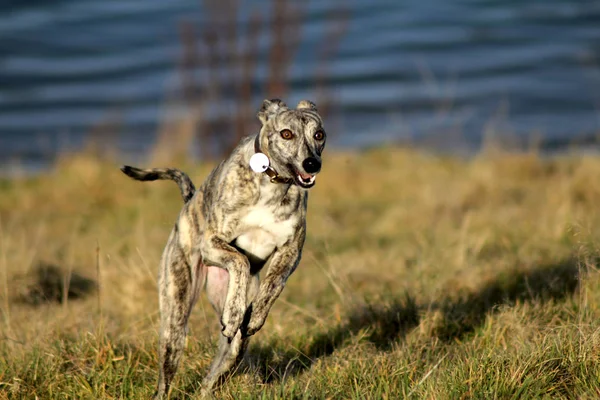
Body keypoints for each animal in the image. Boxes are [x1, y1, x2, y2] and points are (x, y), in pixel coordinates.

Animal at [121, 99, 326, 396]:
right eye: (287, 133)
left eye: (318, 134)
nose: (312, 163)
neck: (271, 183)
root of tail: (189, 201)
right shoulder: (212, 244)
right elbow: (240, 260)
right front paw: (235, 312)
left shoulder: (290, 253)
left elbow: (273, 285)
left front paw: (254, 315)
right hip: (175, 315)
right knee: (167, 375)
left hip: (233, 344)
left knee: (219, 367)